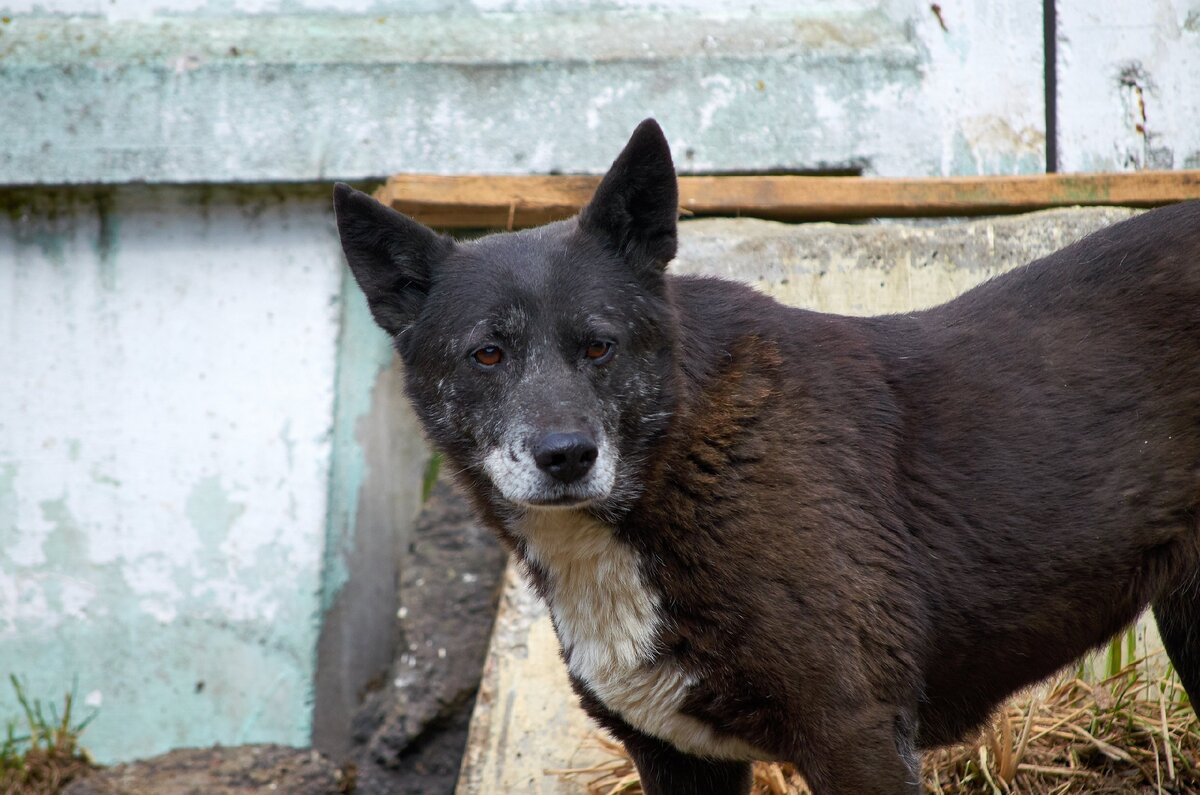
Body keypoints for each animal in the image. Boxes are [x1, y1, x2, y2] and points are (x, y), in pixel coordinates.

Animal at [336, 120, 1200, 795]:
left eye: (599, 345)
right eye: (487, 354)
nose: (567, 456)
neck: (676, 466)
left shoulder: (855, 733)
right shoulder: (681, 757)